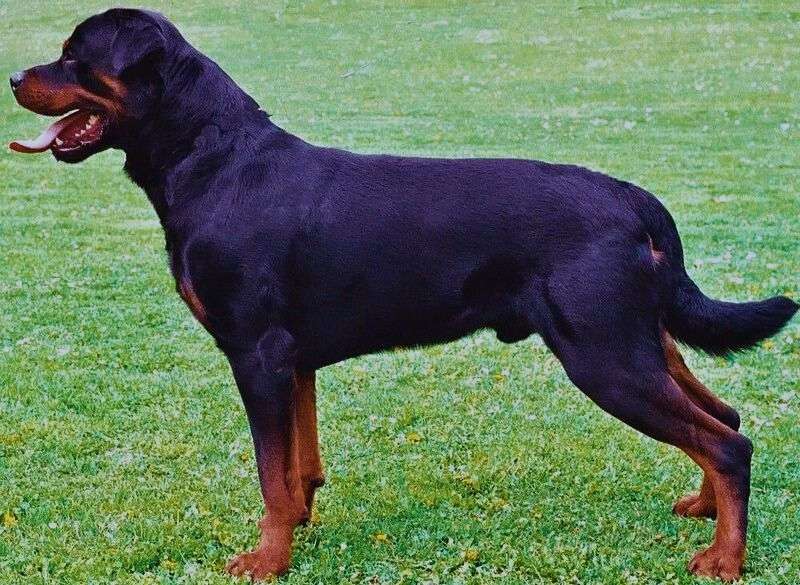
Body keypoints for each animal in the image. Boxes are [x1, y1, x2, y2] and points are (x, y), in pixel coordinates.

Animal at [9, 8, 796, 580]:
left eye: (76, 56)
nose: (15, 76)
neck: (211, 158)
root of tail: (636, 201)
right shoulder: (292, 360)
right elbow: (297, 465)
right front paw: (296, 530)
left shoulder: (257, 353)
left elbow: (270, 472)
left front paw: (265, 561)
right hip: (640, 341)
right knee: (721, 416)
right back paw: (705, 509)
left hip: (605, 355)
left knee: (728, 442)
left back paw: (724, 560)